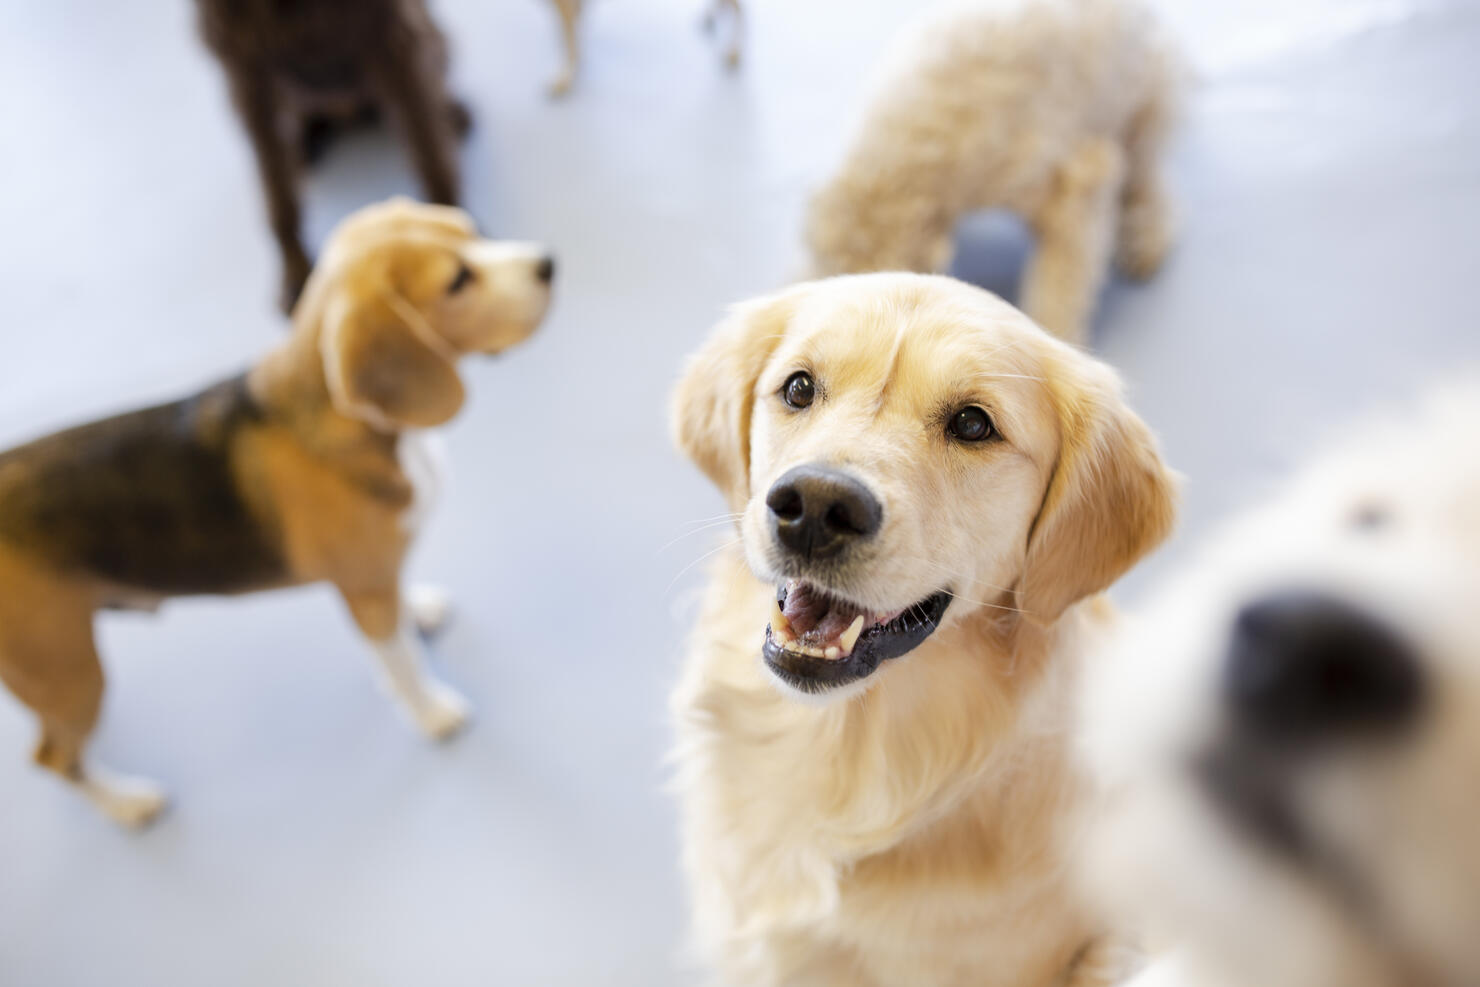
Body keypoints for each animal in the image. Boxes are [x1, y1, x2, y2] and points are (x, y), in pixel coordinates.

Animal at [196, 0, 470, 312]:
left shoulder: (394, 39)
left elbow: (430, 153)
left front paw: (451, 238)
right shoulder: (245, 71)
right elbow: (277, 193)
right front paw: (295, 270)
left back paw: (452, 114)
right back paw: (305, 144)